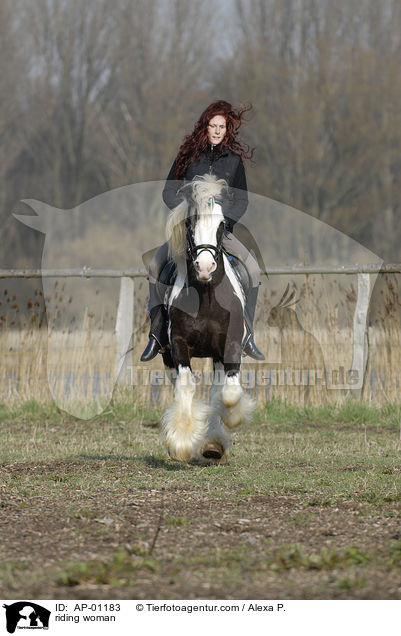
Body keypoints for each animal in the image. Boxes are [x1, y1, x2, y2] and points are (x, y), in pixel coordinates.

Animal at [159, 174, 253, 462]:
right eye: (190, 223)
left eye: (221, 225)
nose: (205, 267)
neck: (206, 296)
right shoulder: (178, 344)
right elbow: (186, 386)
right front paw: (181, 441)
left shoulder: (230, 345)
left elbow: (227, 393)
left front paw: (225, 427)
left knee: (217, 389)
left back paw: (212, 444)